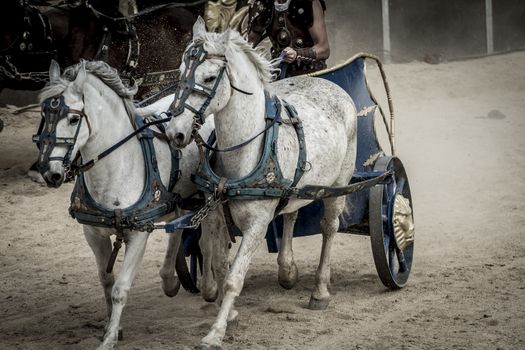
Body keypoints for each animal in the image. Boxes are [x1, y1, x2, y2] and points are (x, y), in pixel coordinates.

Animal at [35, 58, 217, 348]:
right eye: (44, 114)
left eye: (74, 118)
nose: (48, 172)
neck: (116, 166)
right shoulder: (93, 234)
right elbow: (106, 281)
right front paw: (112, 327)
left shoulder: (138, 234)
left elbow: (121, 288)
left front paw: (109, 338)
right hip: (175, 200)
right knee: (176, 232)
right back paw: (169, 280)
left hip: (210, 196)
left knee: (207, 239)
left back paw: (209, 286)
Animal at [166, 17, 358, 348]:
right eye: (179, 73)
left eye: (209, 77)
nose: (174, 131)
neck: (244, 150)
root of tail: (332, 86)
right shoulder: (214, 214)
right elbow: (219, 263)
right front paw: (227, 313)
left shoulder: (257, 223)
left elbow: (234, 278)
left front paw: (215, 332)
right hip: (296, 188)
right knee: (291, 213)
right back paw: (288, 270)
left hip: (339, 184)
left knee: (329, 228)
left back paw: (320, 291)